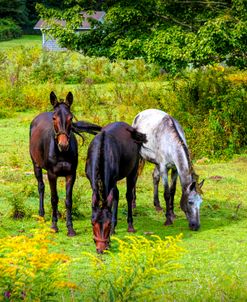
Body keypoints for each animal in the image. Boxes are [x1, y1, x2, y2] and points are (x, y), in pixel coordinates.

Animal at [29, 91, 101, 237]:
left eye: (70, 118)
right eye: (54, 118)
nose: (63, 145)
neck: (61, 153)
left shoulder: (70, 175)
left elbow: (68, 201)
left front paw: (70, 228)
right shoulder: (52, 174)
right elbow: (54, 198)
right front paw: (54, 226)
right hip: (36, 165)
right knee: (41, 187)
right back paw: (41, 215)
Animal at [85, 121, 147, 254]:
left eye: (107, 224)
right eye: (92, 223)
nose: (101, 249)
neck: (102, 150)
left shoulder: (112, 179)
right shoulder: (91, 179)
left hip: (133, 170)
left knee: (128, 195)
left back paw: (130, 225)